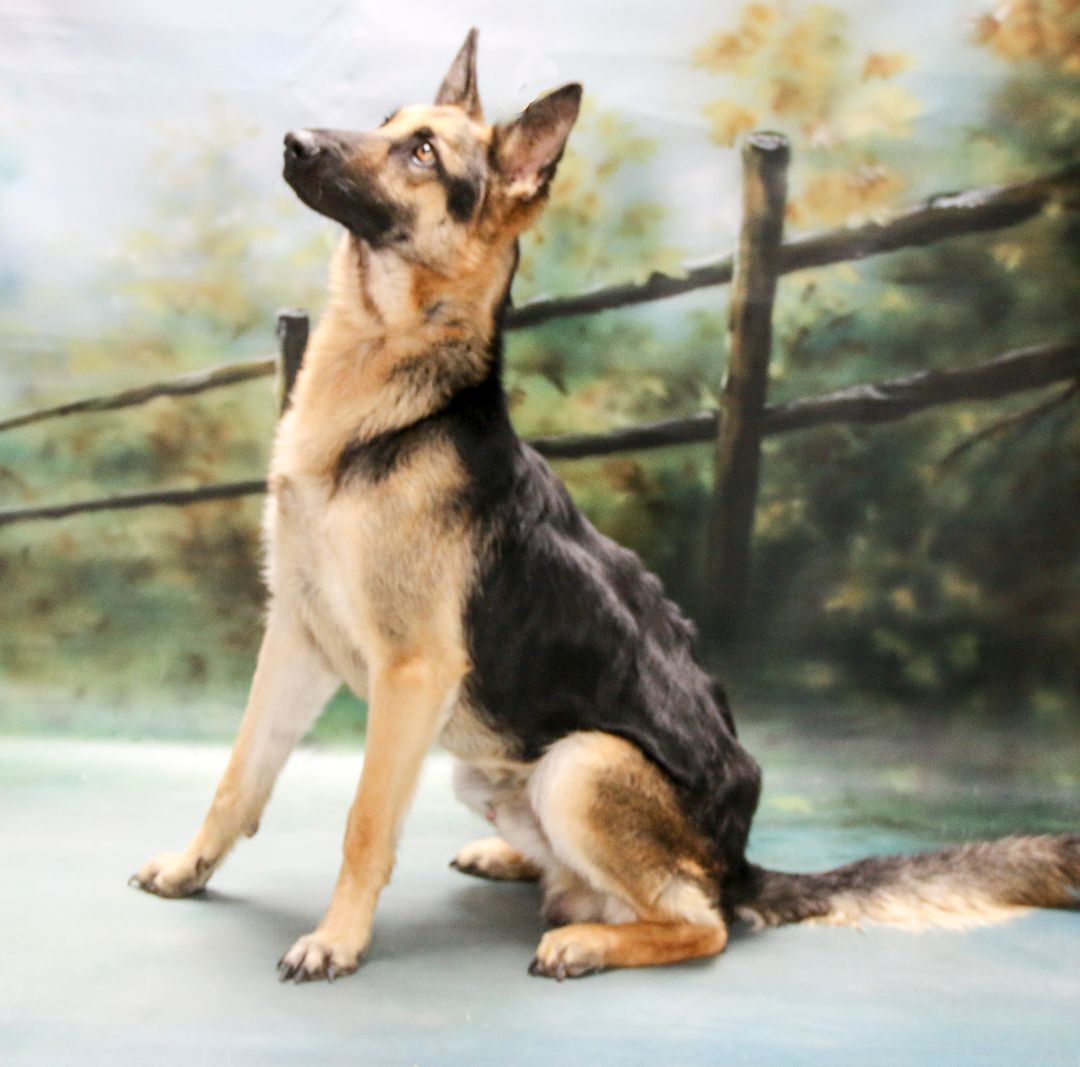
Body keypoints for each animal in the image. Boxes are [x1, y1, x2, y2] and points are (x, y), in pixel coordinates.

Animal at [131, 29, 1080, 982]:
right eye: (388, 121)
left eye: (423, 152)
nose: (293, 142)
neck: (391, 391)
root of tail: (740, 861)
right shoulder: (297, 635)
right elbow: (239, 774)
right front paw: (189, 868)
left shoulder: (410, 673)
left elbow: (364, 821)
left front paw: (338, 937)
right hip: (492, 765)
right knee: (606, 879)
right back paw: (520, 862)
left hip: (581, 760)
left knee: (699, 922)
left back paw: (585, 939)